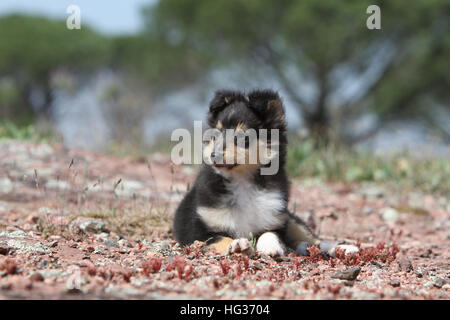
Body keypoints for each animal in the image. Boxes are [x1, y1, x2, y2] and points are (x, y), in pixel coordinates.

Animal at [174, 89, 350, 258]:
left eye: (242, 136)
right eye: (215, 135)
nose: (213, 156)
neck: (242, 181)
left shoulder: (275, 220)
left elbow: (269, 233)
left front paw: (270, 248)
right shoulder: (198, 230)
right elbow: (223, 238)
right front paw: (238, 246)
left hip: (291, 220)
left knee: (315, 240)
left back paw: (344, 249)